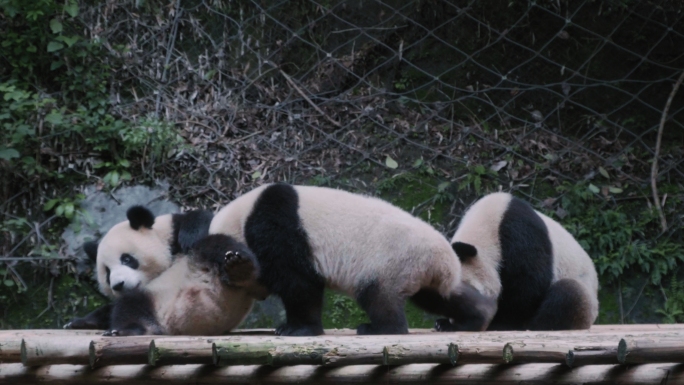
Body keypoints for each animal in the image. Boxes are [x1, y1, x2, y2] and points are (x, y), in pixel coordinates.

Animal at [203, 182, 496, 334]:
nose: (260, 297)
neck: (242, 217)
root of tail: (446, 260)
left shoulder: (276, 228)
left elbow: (298, 282)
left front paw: (296, 328)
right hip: (421, 272)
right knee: (438, 297)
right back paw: (473, 318)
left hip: (392, 260)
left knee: (378, 297)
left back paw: (378, 328)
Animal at [444, 192, 600, 330]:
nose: (457, 319)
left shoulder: (520, 234)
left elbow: (528, 284)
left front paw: (503, 323)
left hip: (585, 301)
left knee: (568, 294)